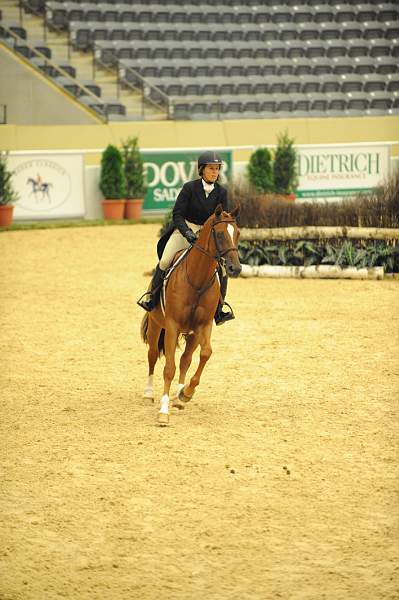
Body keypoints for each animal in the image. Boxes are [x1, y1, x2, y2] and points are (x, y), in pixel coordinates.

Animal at [141, 204, 241, 424]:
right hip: (156, 325)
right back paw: (148, 393)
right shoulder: (171, 325)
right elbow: (168, 368)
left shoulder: (203, 326)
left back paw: (178, 395)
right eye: (219, 234)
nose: (235, 268)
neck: (198, 280)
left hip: (192, 334)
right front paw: (163, 412)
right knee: (152, 355)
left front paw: (186, 393)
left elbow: (205, 354)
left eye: (237, 233)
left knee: (185, 359)